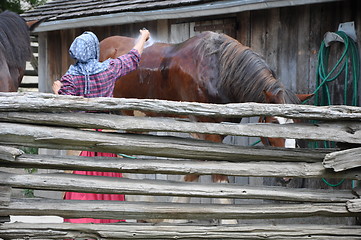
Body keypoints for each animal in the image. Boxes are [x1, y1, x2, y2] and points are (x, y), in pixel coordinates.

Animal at [99, 31, 312, 222]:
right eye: (274, 122)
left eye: (298, 124)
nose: (288, 174)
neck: (219, 72)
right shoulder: (206, 130)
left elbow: (196, 169)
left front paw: (171, 216)